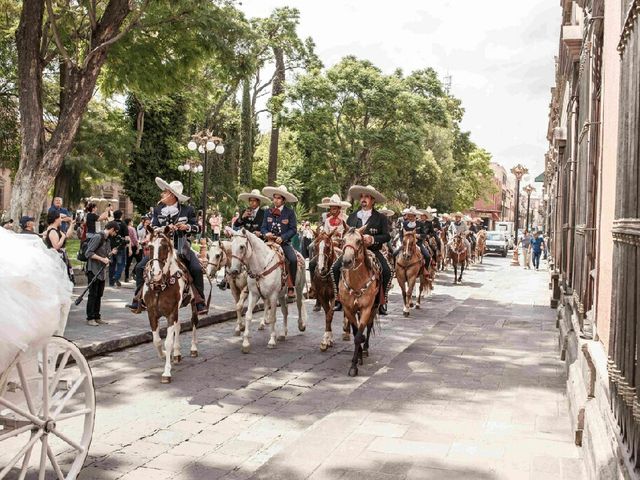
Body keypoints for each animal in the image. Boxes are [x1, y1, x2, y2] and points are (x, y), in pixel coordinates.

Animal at [144, 227, 199, 384]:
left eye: (164, 247)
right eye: (150, 247)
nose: (155, 273)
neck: (160, 286)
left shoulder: (170, 313)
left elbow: (167, 341)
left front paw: (166, 372)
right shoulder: (152, 313)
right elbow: (157, 340)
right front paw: (163, 354)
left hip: (193, 304)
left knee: (194, 322)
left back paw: (193, 349)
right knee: (178, 327)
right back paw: (177, 353)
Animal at [340, 227, 380, 376]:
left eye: (359, 241)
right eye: (343, 240)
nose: (346, 261)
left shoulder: (366, 309)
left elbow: (358, 336)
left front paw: (353, 366)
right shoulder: (348, 309)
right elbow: (355, 331)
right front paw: (357, 359)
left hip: (374, 308)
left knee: (369, 326)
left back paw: (366, 348)